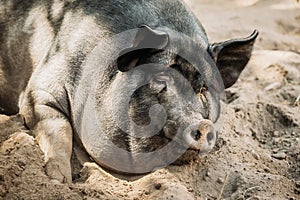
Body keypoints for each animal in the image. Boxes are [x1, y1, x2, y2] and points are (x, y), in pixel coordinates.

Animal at [0, 0, 258, 184]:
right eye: (159, 80)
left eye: (203, 88)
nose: (201, 124)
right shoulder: (37, 91)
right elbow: (58, 127)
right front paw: (59, 179)